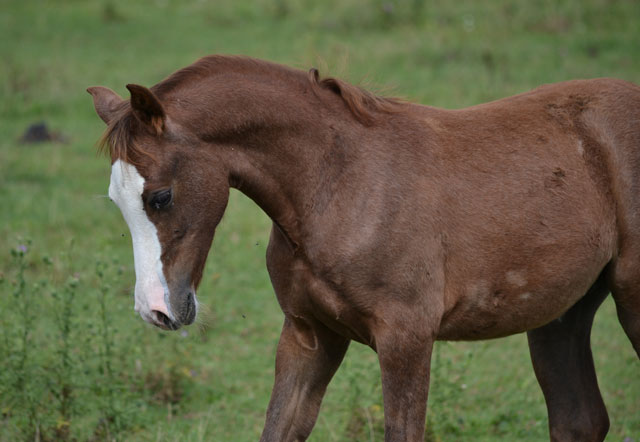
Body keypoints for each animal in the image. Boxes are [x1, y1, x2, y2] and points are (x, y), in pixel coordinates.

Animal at [89, 56, 640, 442]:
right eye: (116, 200)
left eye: (160, 197)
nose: (155, 310)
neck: (338, 185)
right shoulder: (309, 336)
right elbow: (278, 427)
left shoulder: (407, 340)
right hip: (560, 314)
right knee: (579, 420)